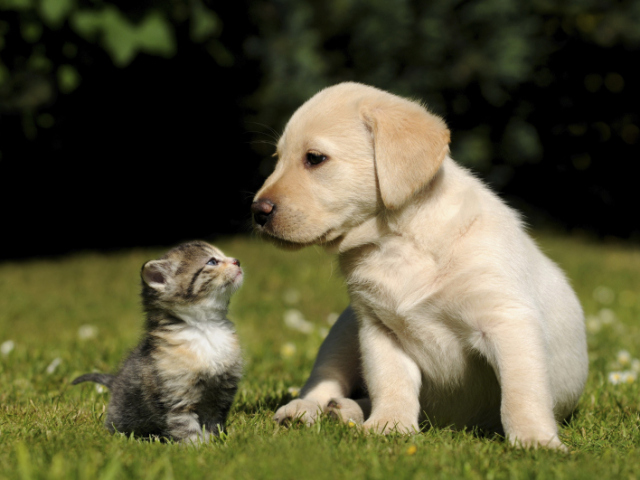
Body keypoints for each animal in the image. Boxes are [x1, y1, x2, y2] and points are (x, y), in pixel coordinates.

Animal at [71, 242, 244, 444]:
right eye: (212, 261)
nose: (237, 261)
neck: (206, 328)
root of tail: (115, 382)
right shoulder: (176, 397)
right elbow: (186, 427)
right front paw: (196, 447)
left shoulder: (220, 393)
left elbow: (213, 423)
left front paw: (216, 443)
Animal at [251, 82, 592, 450]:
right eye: (277, 160)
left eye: (314, 158)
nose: (257, 211)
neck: (398, 242)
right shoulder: (378, 328)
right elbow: (391, 382)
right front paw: (389, 425)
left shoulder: (508, 320)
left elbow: (522, 393)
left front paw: (535, 441)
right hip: (343, 331)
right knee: (325, 379)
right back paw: (309, 409)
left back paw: (345, 410)